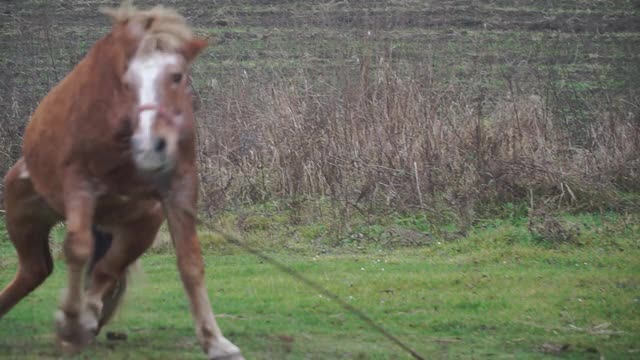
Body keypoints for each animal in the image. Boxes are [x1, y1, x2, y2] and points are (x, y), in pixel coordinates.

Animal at [0, 3, 244, 360]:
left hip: (141, 224)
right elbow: (77, 248)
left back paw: (86, 319)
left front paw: (216, 341)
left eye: (176, 76)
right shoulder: (79, 183)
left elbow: (190, 263)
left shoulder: (180, 188)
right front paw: (70, 319)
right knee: (35, 270)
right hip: (22, 211)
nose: (152, 144)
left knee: (101, 269)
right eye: (126, 81)